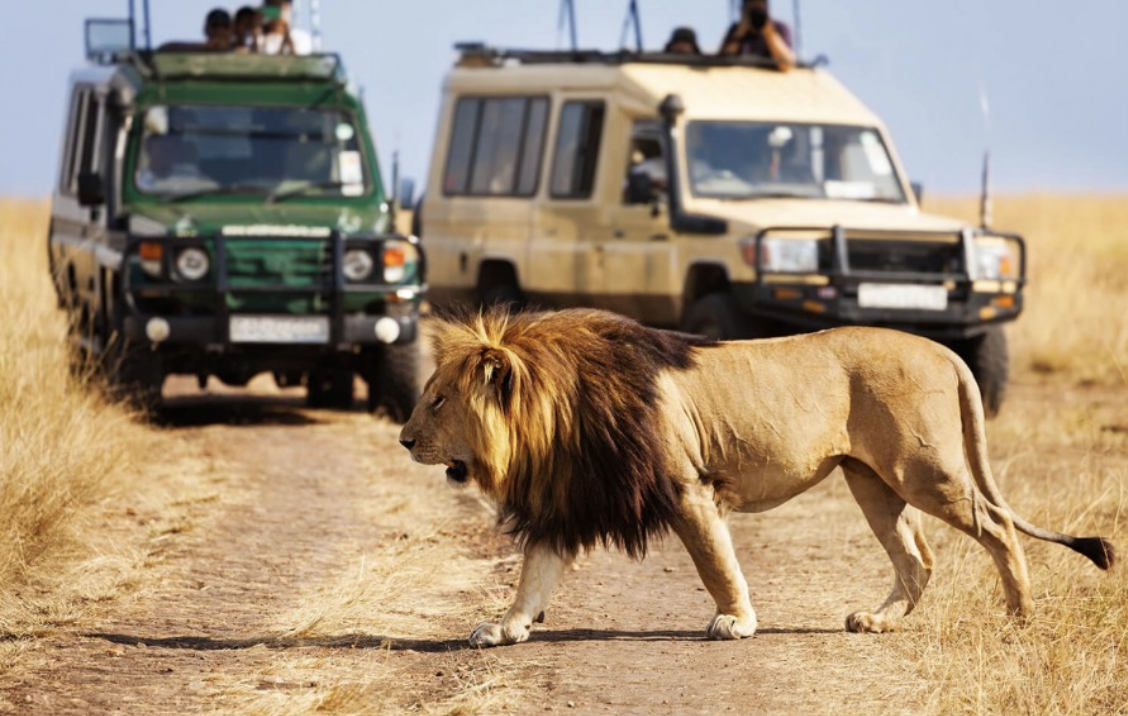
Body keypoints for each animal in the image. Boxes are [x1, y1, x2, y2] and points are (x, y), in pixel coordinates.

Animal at [397, 308, 1109, 649]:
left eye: (437, 400)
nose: (404, 440)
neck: (556, 417)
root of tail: (944, 349)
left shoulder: (688, 488)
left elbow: (716, 563)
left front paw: (736, 622)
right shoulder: (566, 503)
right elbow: (532, 576)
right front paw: (505, 628)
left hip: (923, 469)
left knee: (997, 527)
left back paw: (1019, 616)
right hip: (871, 481)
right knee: (918, 557)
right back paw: (877, 622)